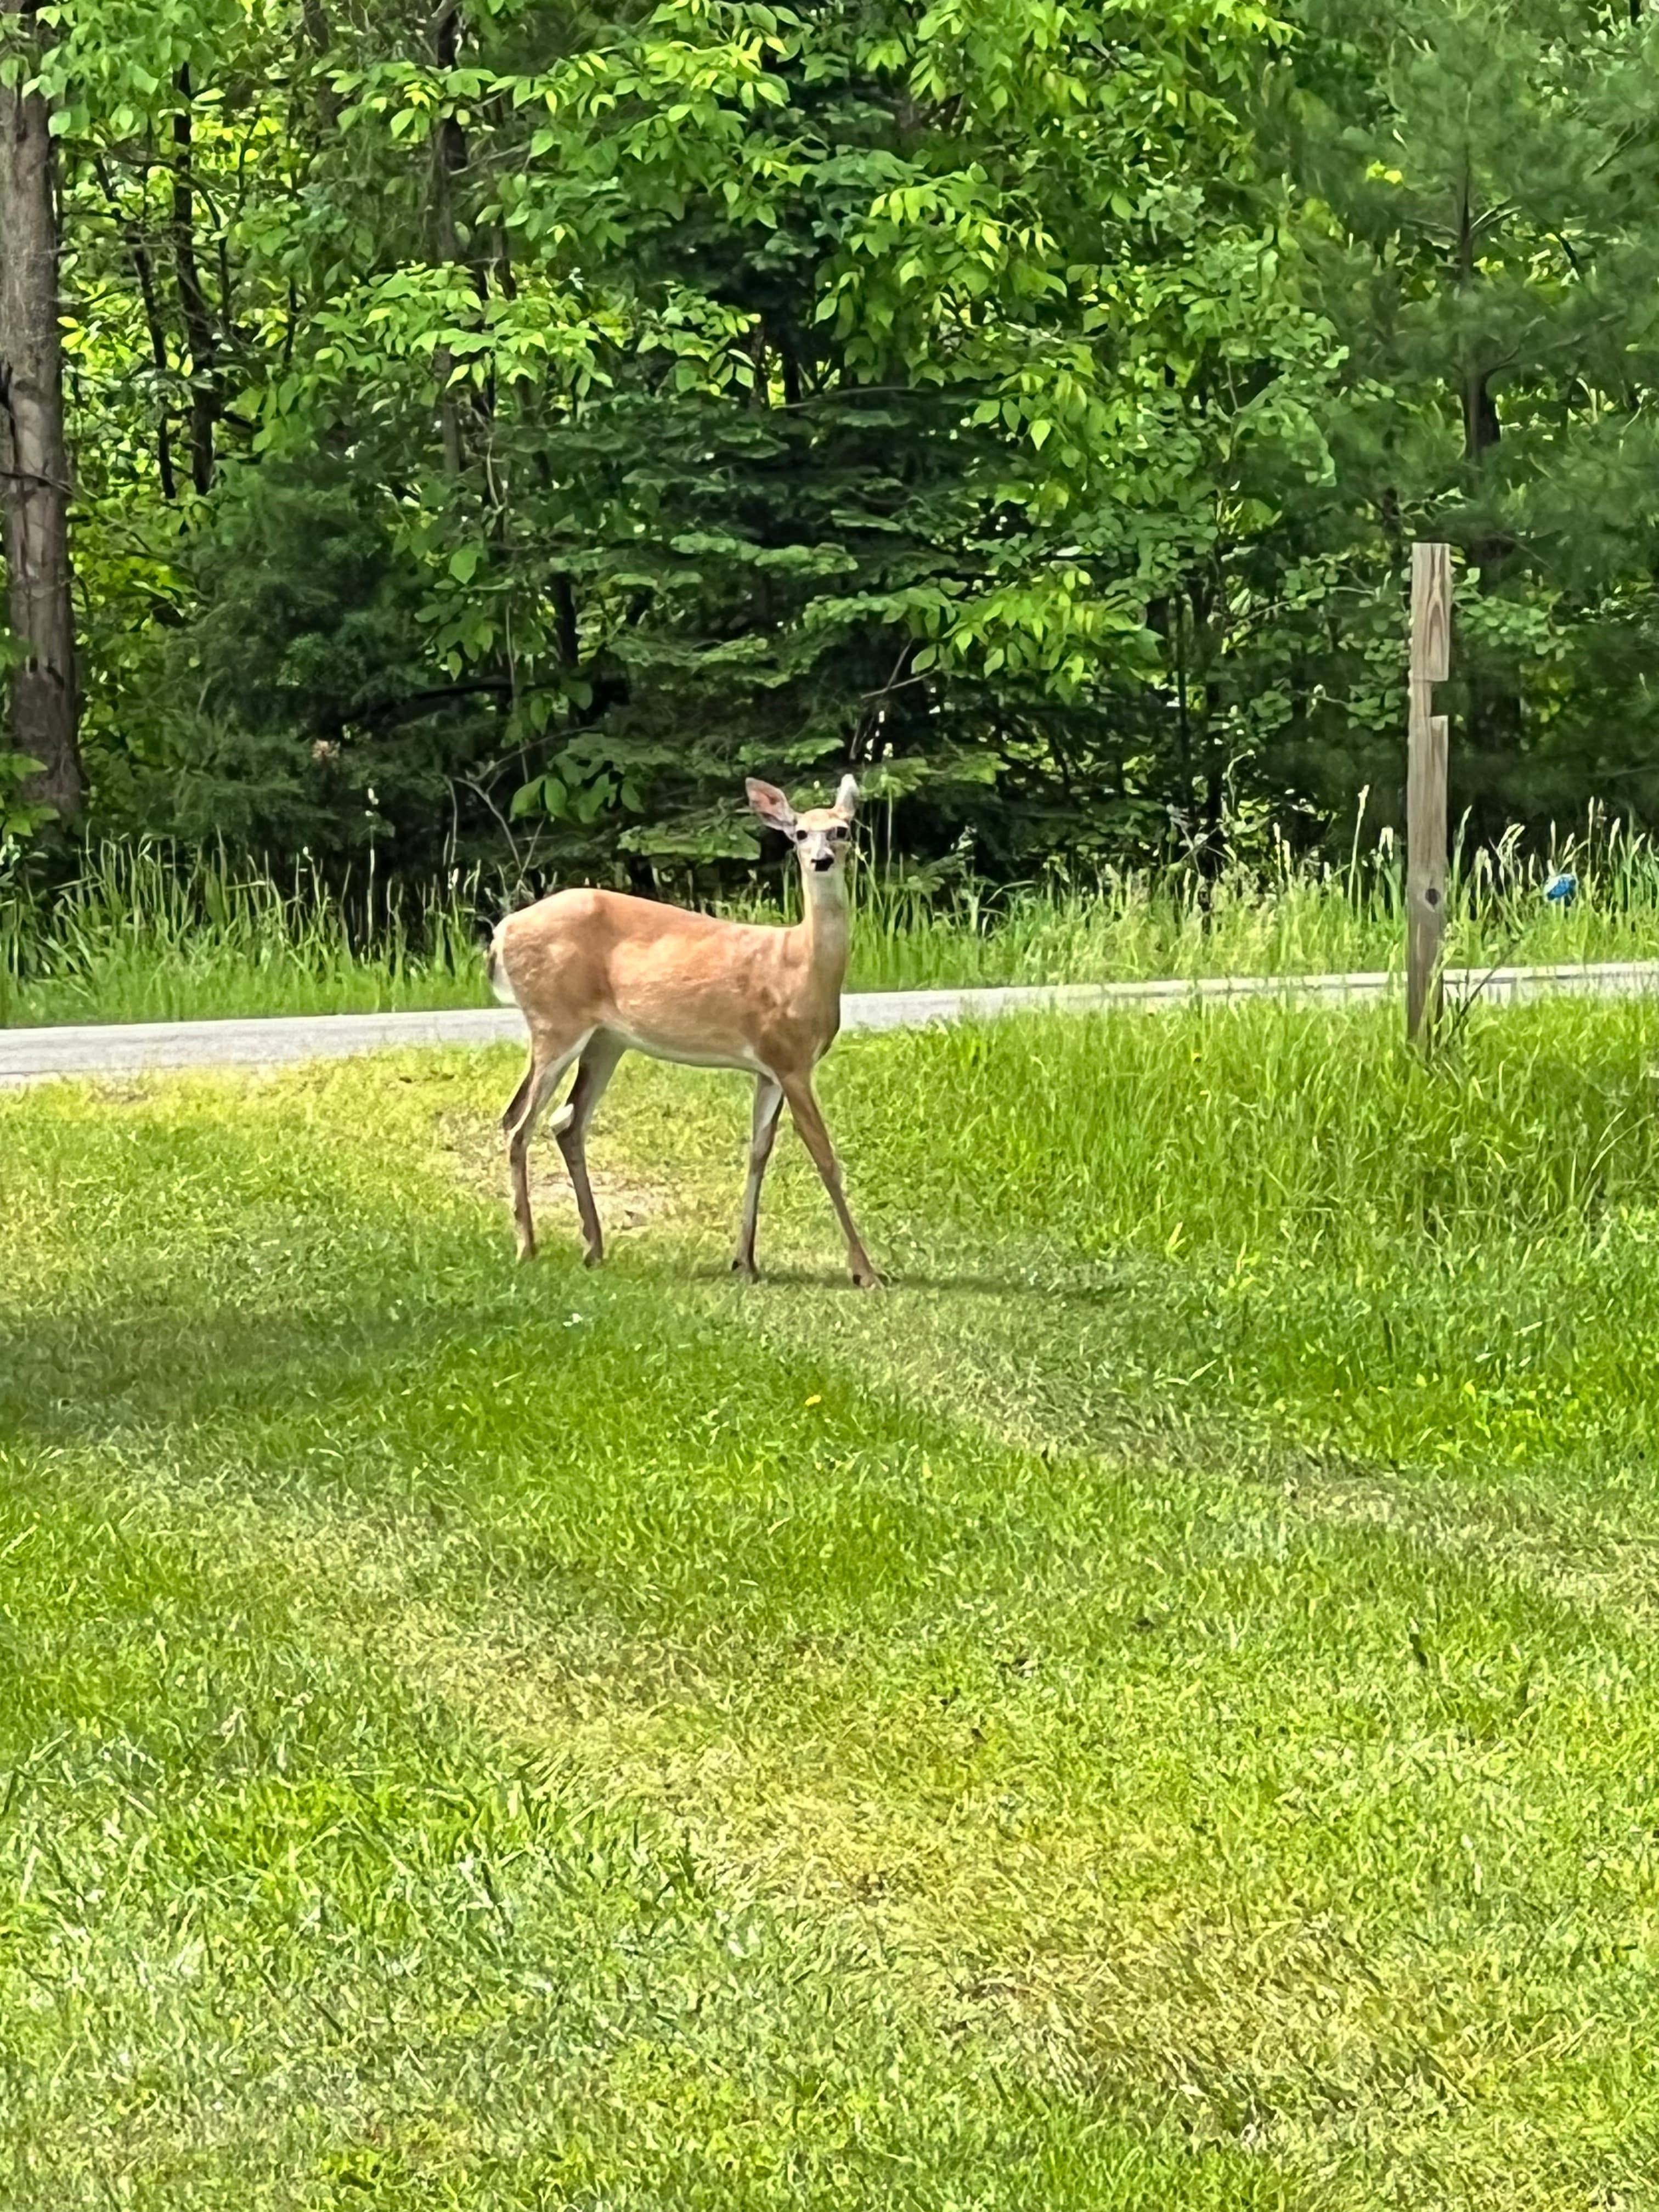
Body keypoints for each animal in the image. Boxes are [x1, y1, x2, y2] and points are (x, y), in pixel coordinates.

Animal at [485, 774, 880, 1288]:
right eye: (799, 834)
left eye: (842, 830)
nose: (822, 859)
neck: (799, 966)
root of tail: (500, 933)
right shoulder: (790, 1058)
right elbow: (825, 1158)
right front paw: (866, 1272)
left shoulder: (769, 1068)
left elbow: (758, 1153)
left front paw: (745, 1262)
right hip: (555, 1021)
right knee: (519, 1122)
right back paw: (528, 1248)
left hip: (605, 1039)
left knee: (565, 1122)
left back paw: (594, 1248)